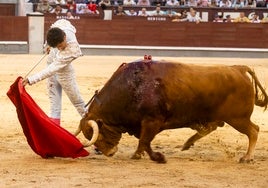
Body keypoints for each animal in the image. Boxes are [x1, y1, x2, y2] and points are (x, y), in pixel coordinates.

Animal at [74, 58, 266, 163]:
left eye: (99, 134)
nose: (109, 153)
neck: (131, 87)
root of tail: (238, 68)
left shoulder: (152, 121)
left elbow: (145, 141)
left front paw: (154, 157)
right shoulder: (146, 124)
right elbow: (144, 141)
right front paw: (141, 155)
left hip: (238, 118)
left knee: (253, 131)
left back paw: (247, 158)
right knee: (211, 128)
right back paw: (187, 143)